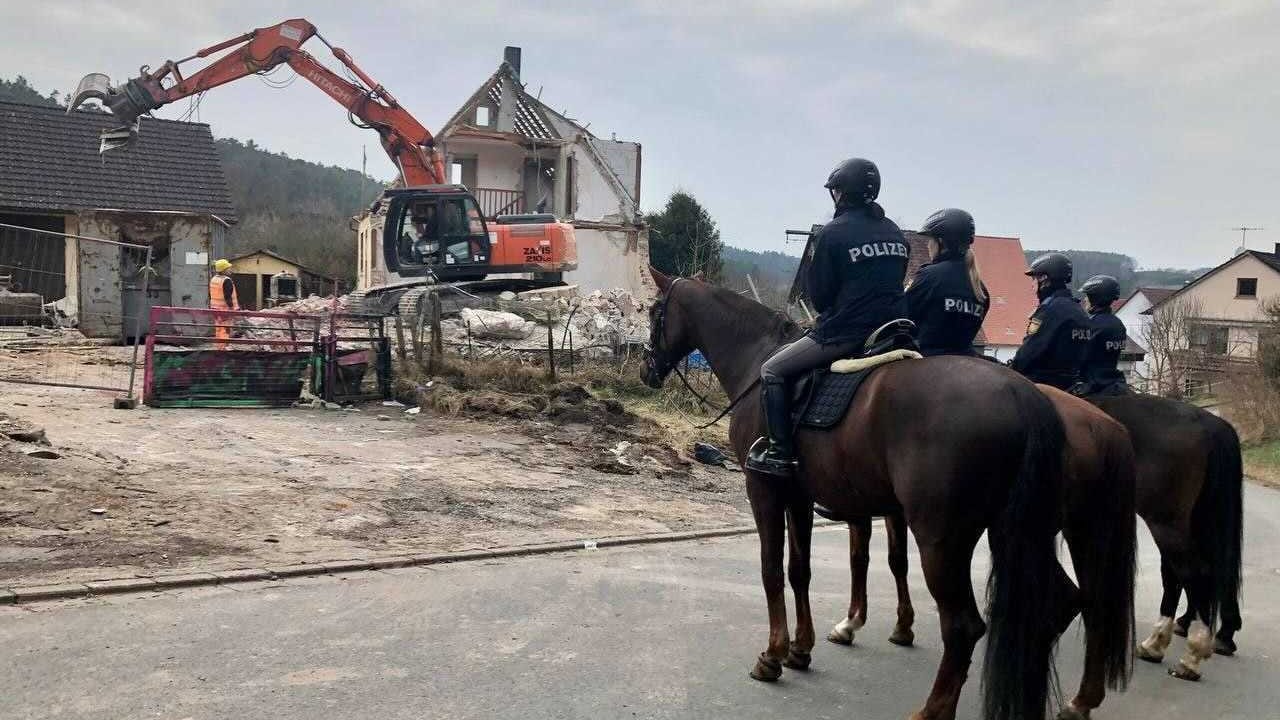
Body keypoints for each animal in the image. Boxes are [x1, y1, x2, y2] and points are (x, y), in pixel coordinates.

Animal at [645, 269, 1105, 717]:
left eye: (653, 312)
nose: (647, 371)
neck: (758, 363)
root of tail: (1024, 395)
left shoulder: (765, 490)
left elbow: (772, 570)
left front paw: (773, 655)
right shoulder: (800, 497)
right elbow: (800, 571)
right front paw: (800, 649)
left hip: (943, 539)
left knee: (964, 627)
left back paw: (932, 712)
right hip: (1017, 533)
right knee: (1058, 603)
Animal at [829, 386, 1141, 717]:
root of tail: (1106, 426)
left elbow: (867, 558)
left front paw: (854, 623)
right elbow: (894, 559)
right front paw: (900, 626)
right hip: (1075, 531)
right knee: (1088, 603)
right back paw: (1079, 698)